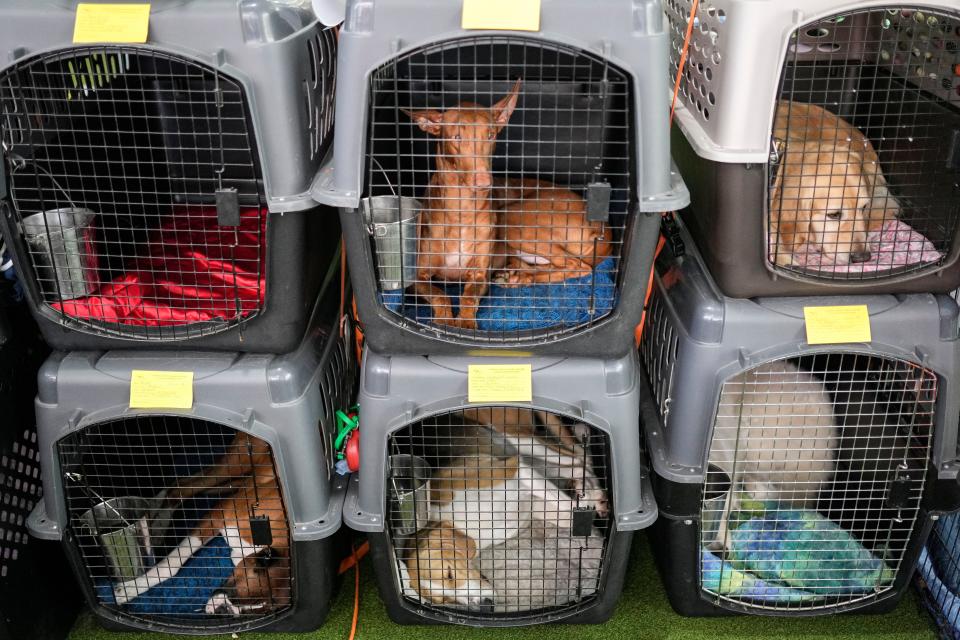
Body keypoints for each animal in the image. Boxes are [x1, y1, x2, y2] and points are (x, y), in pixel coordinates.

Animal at [110, 432, 290, 616]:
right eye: (236, 595)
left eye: (261, 610)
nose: (224, 611)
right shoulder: (216, 516)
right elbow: (171, 565)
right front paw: (129, 589)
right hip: (235, 465)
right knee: (181, 487)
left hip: (237, 481)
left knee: (184, 485)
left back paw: (155, 516)